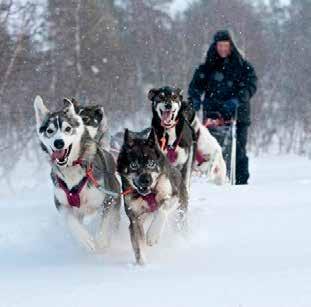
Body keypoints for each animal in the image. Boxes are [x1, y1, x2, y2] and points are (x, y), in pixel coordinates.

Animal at [33, 96, 120, 253]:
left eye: (68, 129)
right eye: (49, 130)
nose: (59, 143)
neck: (71, 169)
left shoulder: (109, 199)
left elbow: (104, 223)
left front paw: (101, 240)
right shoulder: (62, 204)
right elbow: (71, 222)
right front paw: (85, 239)